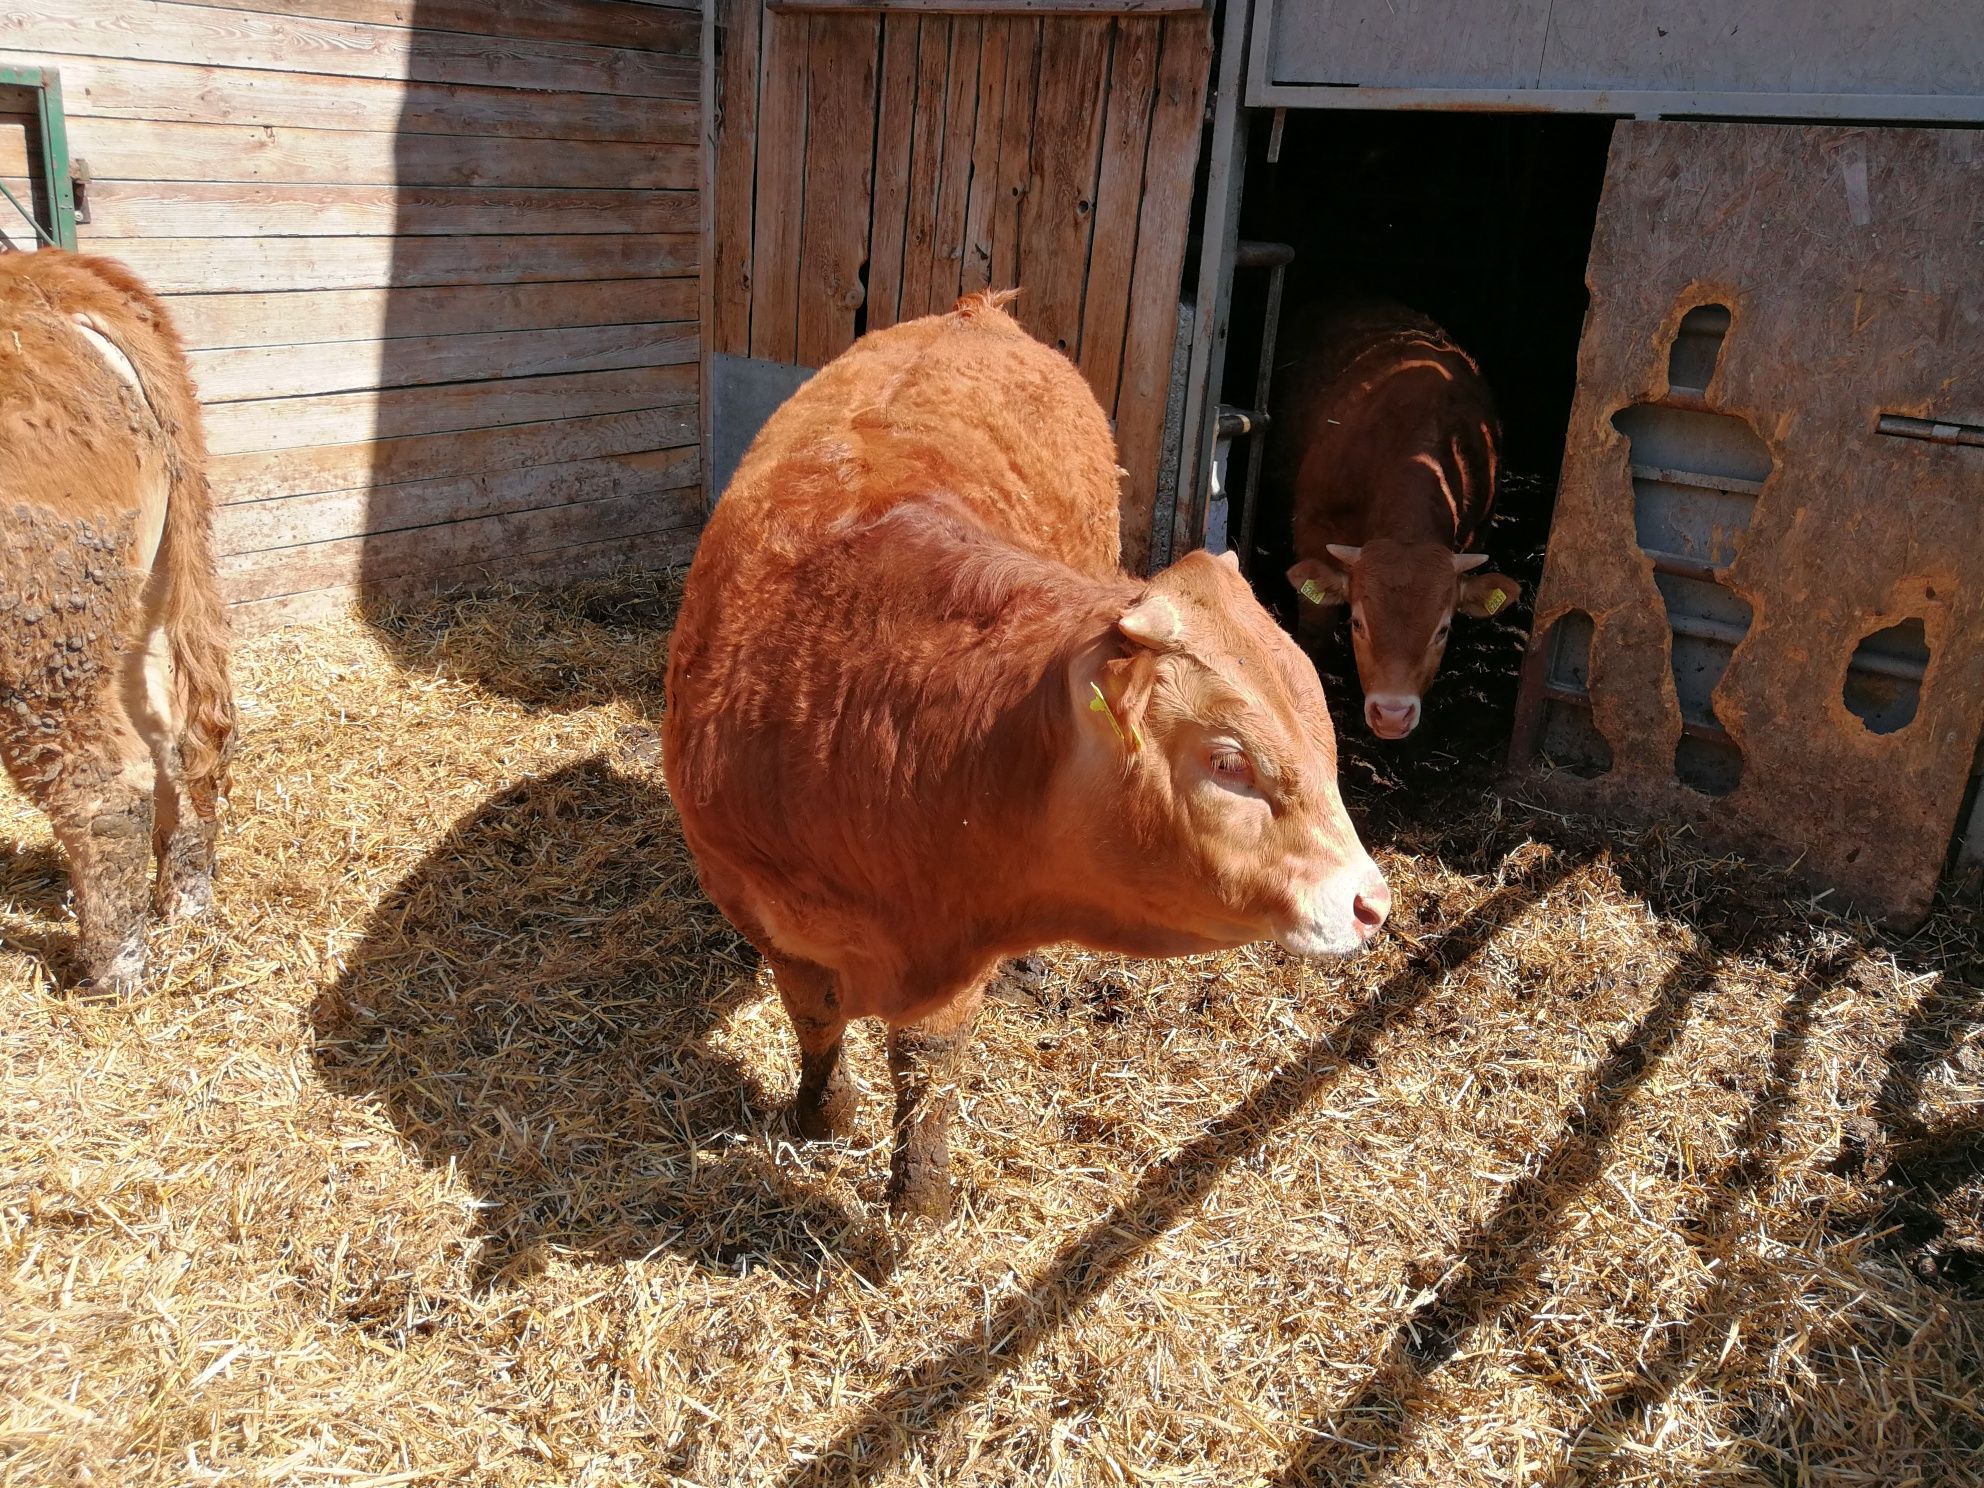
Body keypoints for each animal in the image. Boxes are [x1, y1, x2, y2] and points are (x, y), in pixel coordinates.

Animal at [0, 250, 236, 995]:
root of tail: (53, 274)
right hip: (140, 599)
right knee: (179, 742)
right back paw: (183, 899)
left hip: (38, 640)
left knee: (100, 790)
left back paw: (113, 969)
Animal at [658, 293, 1388, 1222]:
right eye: (1229, 762)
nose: (1373, 901)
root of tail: (976, 312)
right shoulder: (754, 902)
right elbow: (815, 1016)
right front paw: (823, 1116)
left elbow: (927, 1060)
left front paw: (919, 1192)